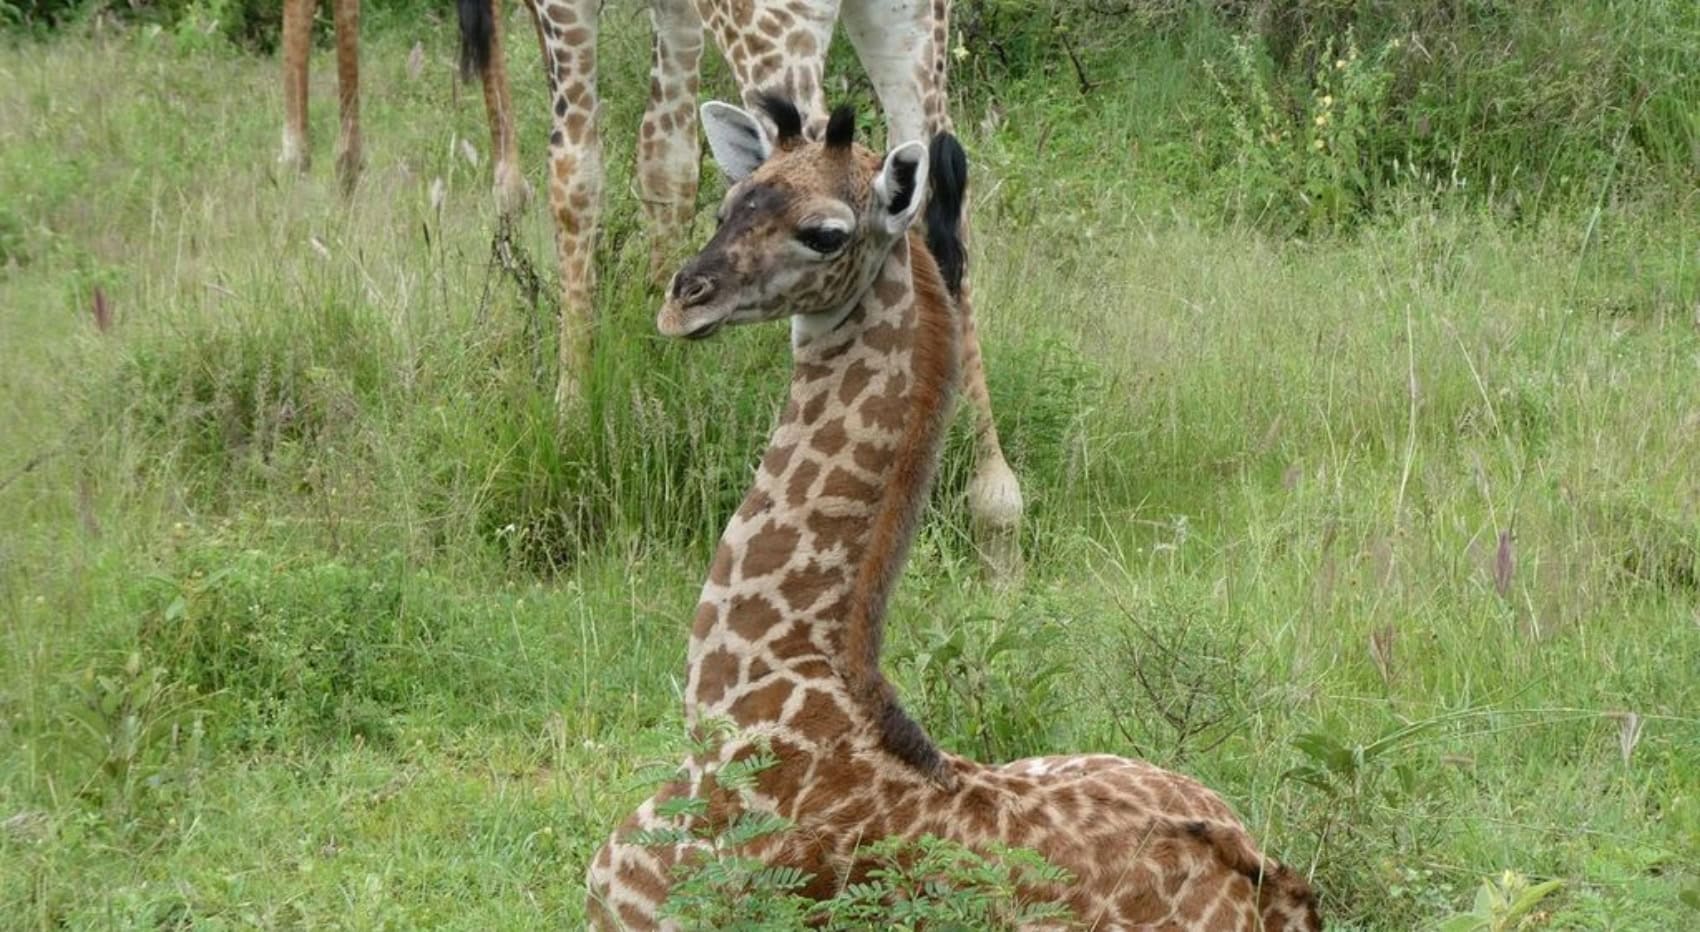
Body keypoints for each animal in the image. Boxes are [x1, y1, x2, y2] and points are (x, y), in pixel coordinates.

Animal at [584, 98, 1322, 931]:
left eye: (825, 232)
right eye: (728, 206)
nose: (684, 299)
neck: (750, 700)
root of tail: (1264, 875)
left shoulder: (633, 904)